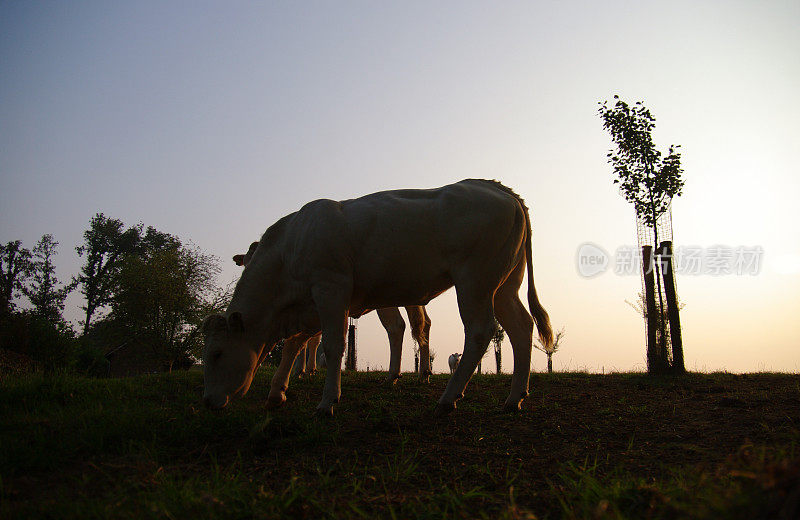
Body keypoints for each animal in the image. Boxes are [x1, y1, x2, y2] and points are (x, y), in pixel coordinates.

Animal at [202, 181, 552, 416]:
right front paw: (277, 393)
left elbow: (332, 345)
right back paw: (513, 399)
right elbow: (294, 345)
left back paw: (448, 399)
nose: (207, 403)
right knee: (521, 327)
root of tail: (494, 186)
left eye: (217, 353)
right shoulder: (309, 307)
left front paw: (327, 401)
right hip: (504, 285)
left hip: (475, 281)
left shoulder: (330, 288)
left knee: (480, 331)